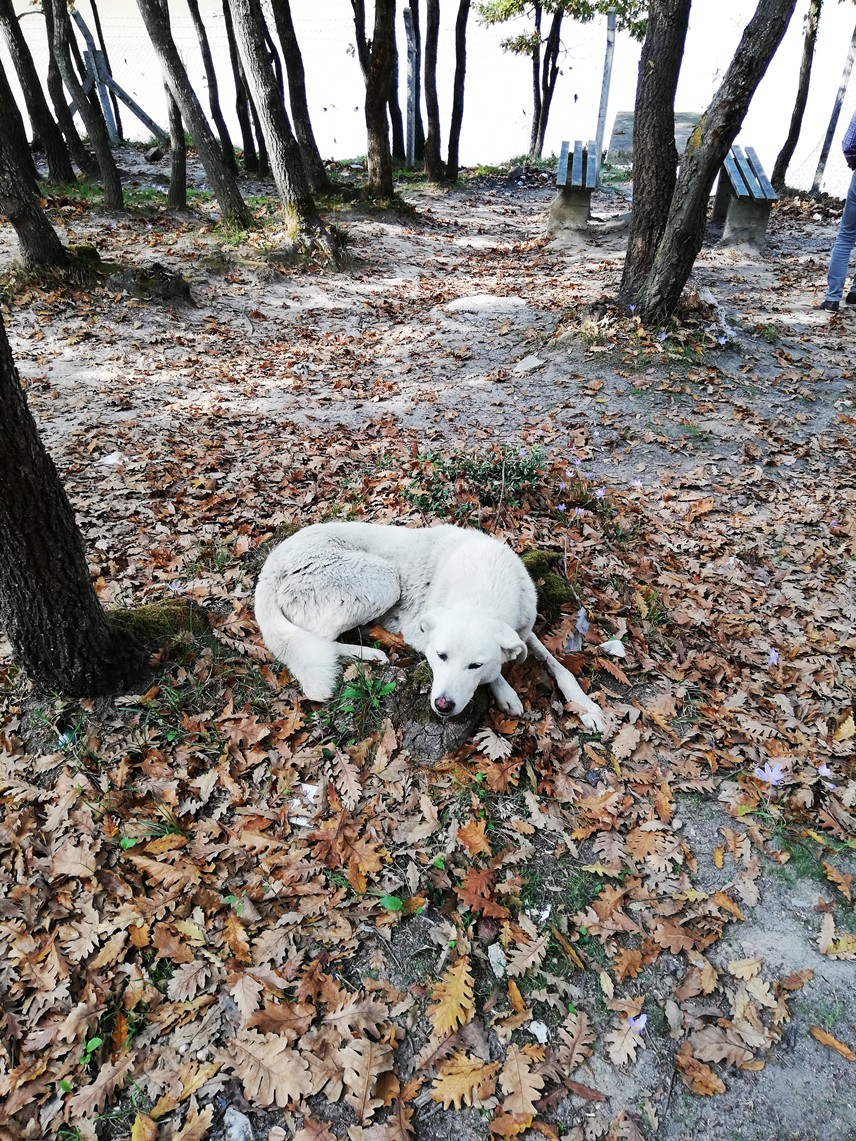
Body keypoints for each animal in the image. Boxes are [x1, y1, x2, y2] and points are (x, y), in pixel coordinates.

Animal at [256, 522, 611, 734]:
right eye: (440, 657)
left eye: (474, 664)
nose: (443, 706)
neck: (482, 588)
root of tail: (271, 563)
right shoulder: (420, 633)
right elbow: (500, 673)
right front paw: (506, 693)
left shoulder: (523, 630)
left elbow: (556, 665)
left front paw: (587, 707)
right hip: (384, 579)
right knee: (320, 639)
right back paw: (369, 654)